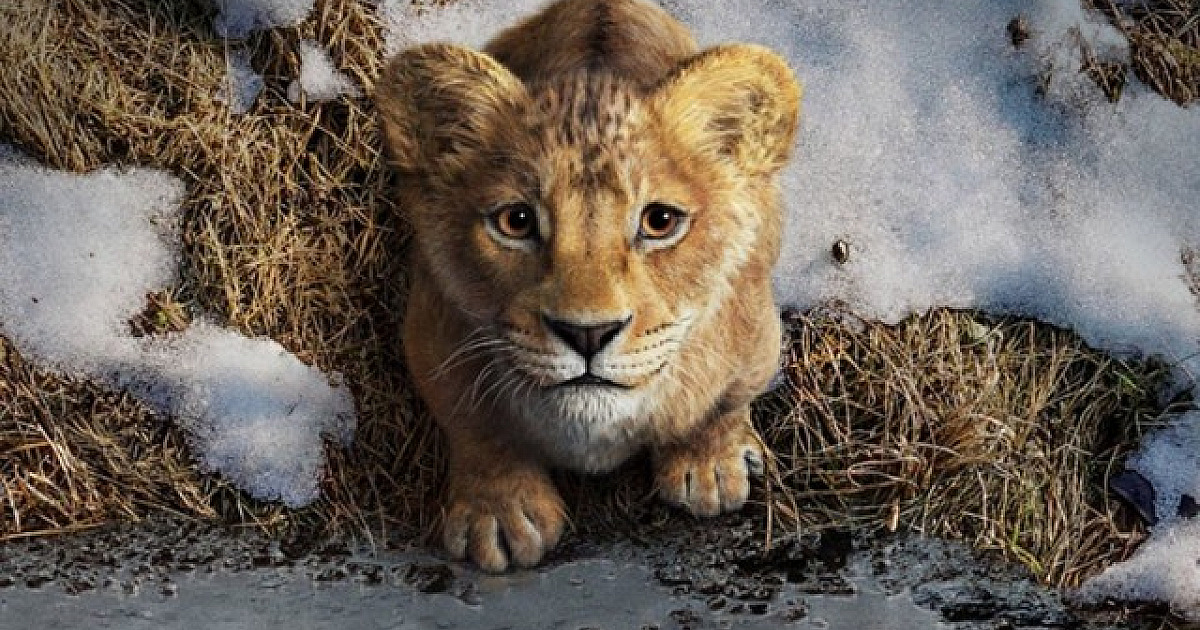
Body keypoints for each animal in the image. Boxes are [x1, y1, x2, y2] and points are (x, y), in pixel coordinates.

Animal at [376, 0, 801, 571]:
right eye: (515, 221)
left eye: (660, 221)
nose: (587, 334)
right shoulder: (431, 332)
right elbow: (475, 425)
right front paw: (501, 512)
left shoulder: (755, 332)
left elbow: (723, 401)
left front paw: (710, 463)